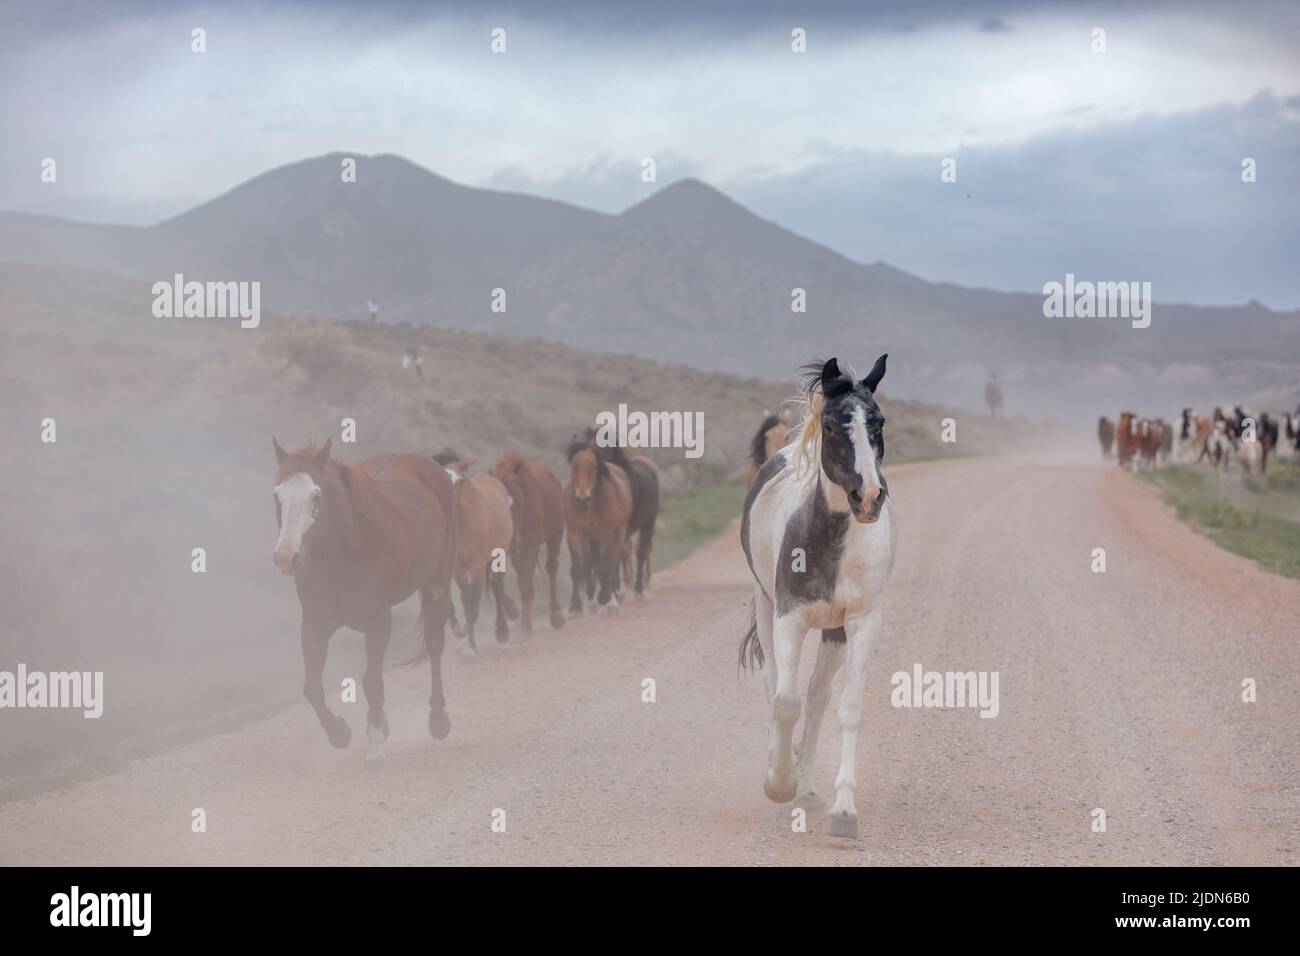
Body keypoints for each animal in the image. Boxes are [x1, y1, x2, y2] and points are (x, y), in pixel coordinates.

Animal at [271, 437, 460, 764]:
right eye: (277, 496)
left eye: (316, 496)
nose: (286, 557)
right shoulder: (314, 625)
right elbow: (312, 688)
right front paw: (340, 732)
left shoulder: (377, 621)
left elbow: (372, 681)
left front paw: (374, 743)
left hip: (437, 580)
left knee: (435, 645)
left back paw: (437, 719)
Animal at [436, 447, 517, 658]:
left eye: (460, 481)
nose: (449, 505)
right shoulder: (458, 569)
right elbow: (464, 602)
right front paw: (462, 632)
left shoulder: (477, 568)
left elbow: (473, 605)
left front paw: (470, 648)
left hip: (499, 555)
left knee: (497, 585)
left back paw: (502, 630)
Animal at [488, 455, 566, 639]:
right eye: (497, 505)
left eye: (519, 502)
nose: (510, 540)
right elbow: (496, 583)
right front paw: (503, 628)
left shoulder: (530, 546)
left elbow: (525, 587)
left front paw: (525, 627)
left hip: (555, 534)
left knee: (551, 568)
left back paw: (556, 615)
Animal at [564, 437, 634, 616]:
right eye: (573, 466)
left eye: (594, 467)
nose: (582, 499)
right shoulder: (576, 534)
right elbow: (580, 566)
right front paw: (576, 606)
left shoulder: (606, 535)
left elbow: (605, 565)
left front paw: (605, 598)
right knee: (591, 564)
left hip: (619, 533)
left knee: (613, 563)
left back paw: (611, 599)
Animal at [743, 356, 894, 837]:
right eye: (829, 425)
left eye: (879, 422)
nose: (869, 497)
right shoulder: (789, 617)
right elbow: (785, 701)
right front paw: (778, 782)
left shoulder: (861, 624)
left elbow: (847, 708)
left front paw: (843, 808)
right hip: (765, 607)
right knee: (777, 685)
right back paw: (784, 769)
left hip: (833, 631)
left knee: (818, 696)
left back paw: (807, 784)